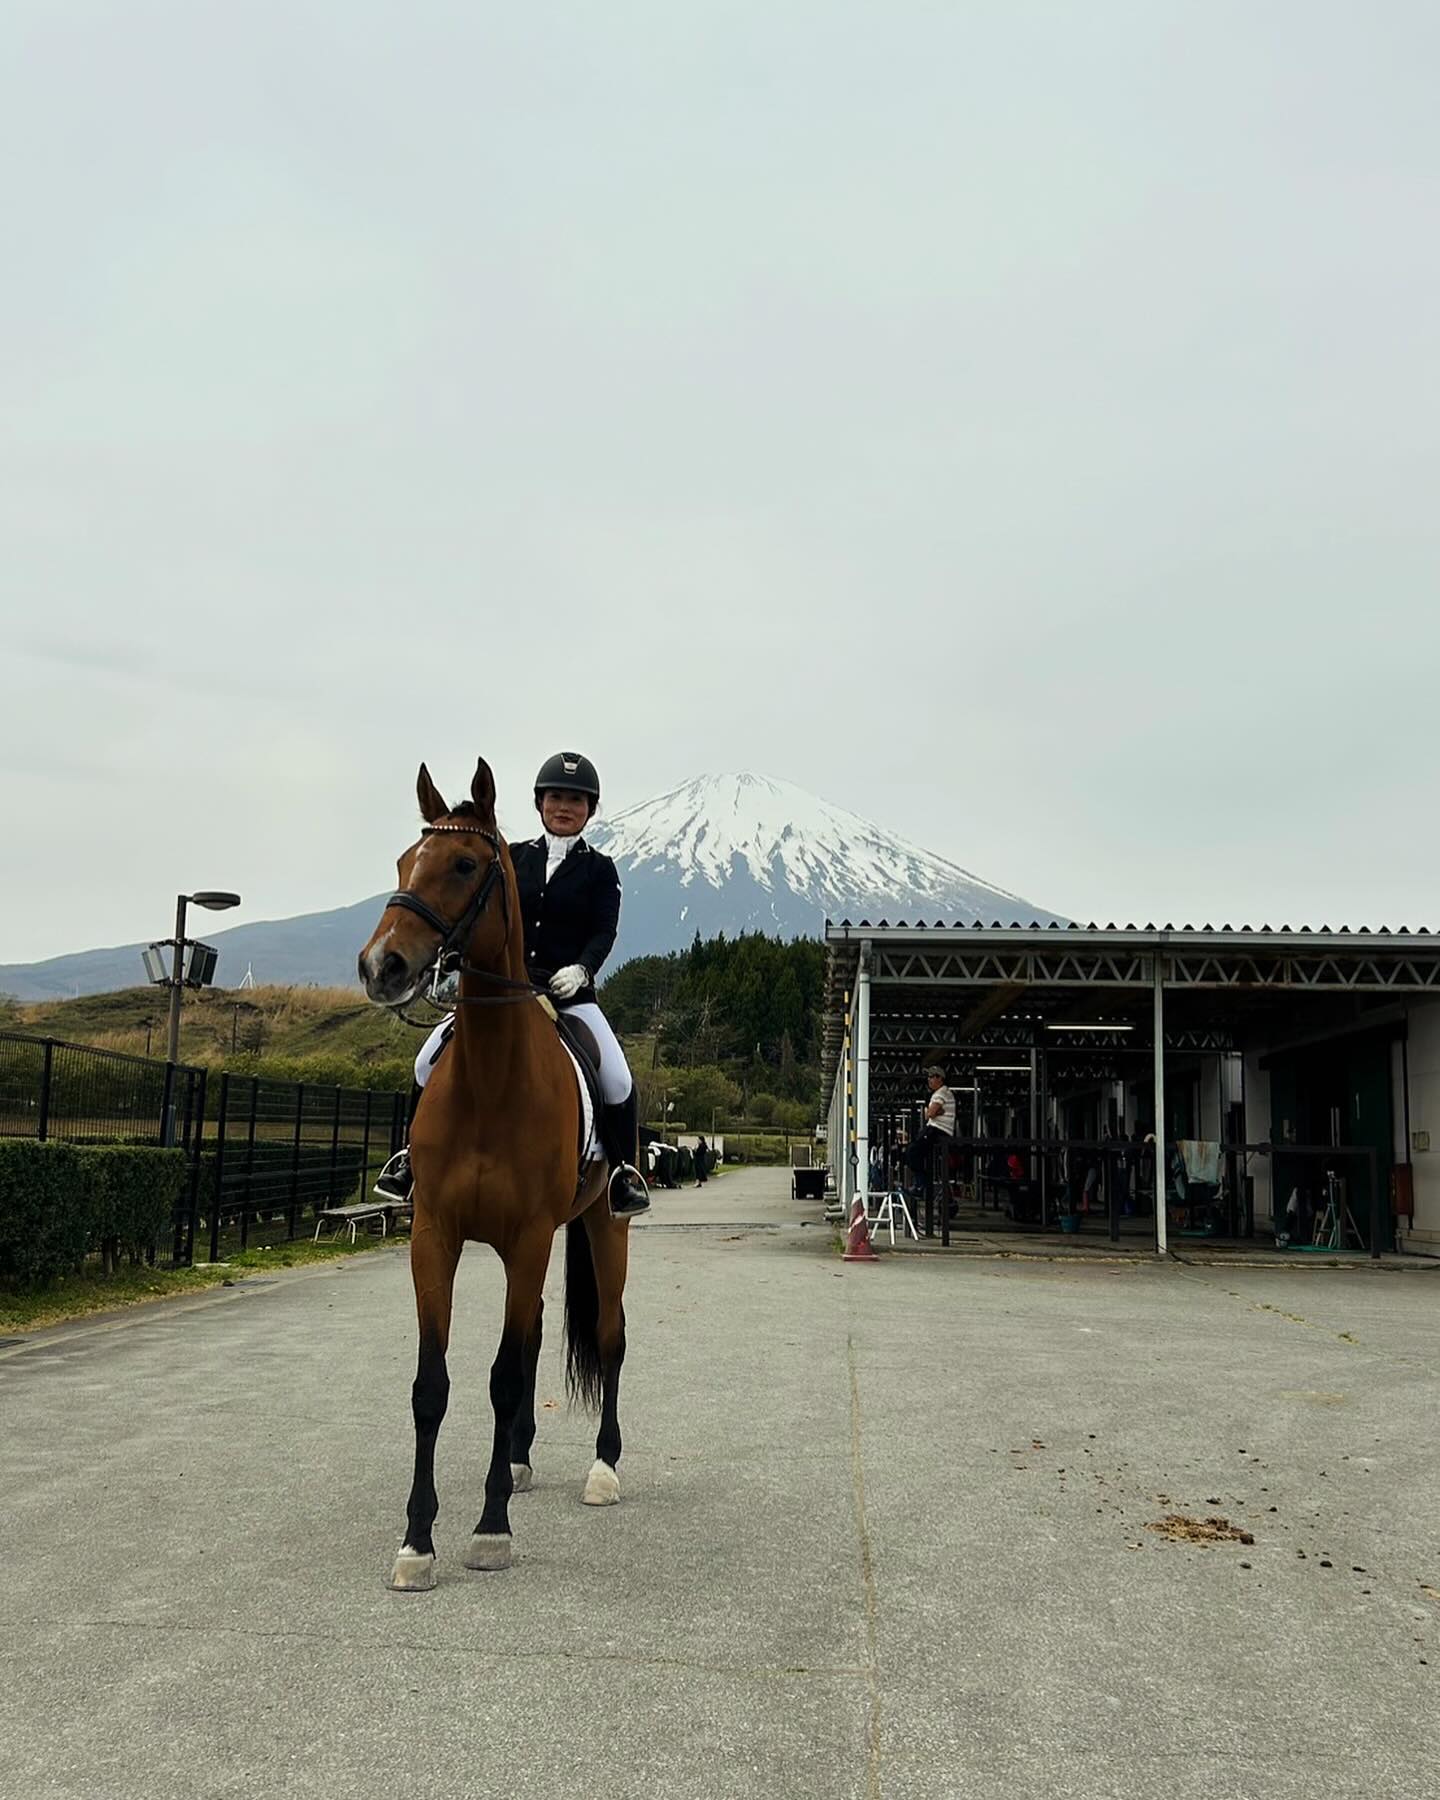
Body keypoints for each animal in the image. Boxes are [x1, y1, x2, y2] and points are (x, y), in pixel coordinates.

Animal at [356, 756, 626, 1591]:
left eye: (465, 865)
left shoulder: (532, 1235)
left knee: (609, 1337)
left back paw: (604, 1469)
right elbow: (431, 1387)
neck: (489, 1079)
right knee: (535, 1335)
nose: (382, 966)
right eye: (404, 862)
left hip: (602, 1224)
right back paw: (516, 1460)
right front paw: (417, 1540)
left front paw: (490, 1529)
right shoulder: (435, 1236)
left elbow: (505, 1376)